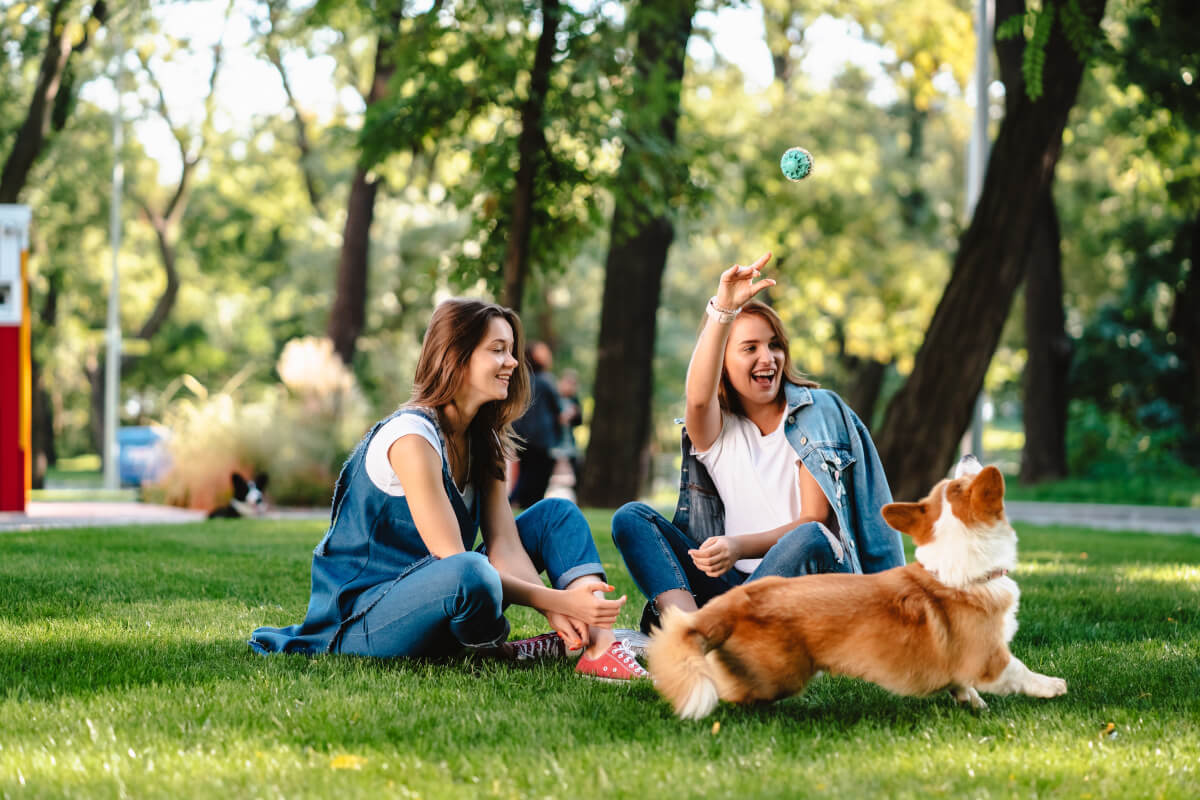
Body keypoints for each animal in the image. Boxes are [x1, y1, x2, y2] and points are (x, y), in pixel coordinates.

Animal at [648, 453, 1070, 724]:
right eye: (960, 482)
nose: (967, 451)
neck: (960, 564)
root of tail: (732, 604)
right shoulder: (990, 659)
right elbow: (1020, 671)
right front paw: (1052, 686)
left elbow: (964, 686)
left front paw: (973, 704)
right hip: (780, 675)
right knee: (728, 689)